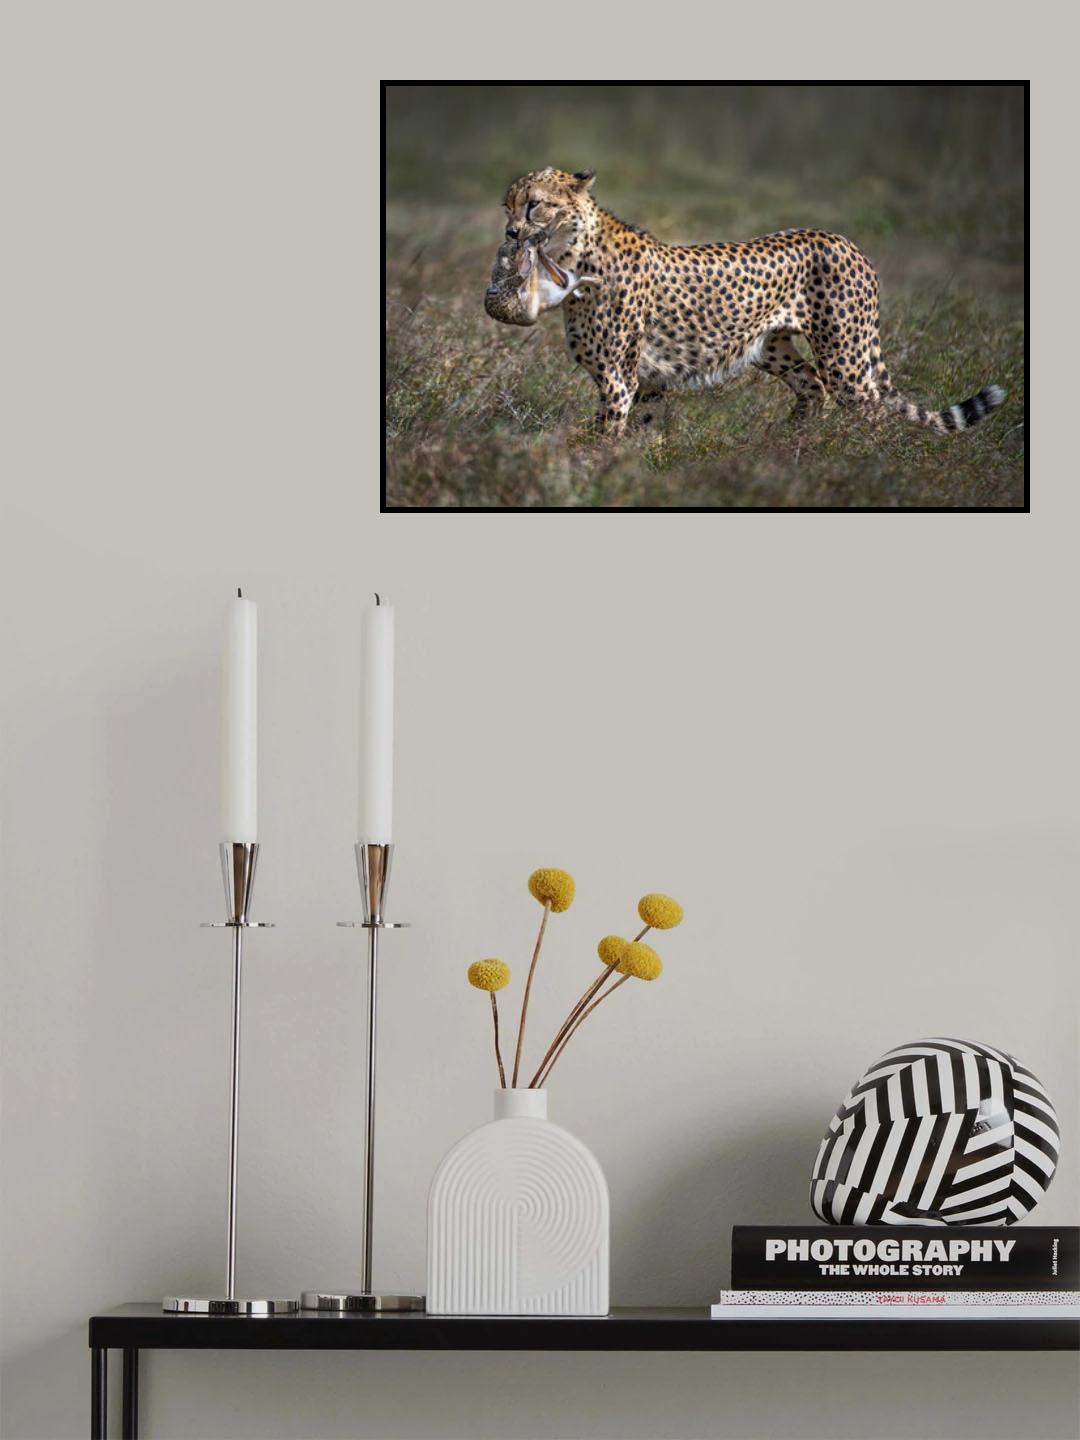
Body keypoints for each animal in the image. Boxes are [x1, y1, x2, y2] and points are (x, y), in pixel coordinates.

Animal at [496, 167, 1005, 439]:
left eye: (535, 204)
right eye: (508, 205)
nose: (511, 232)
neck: (573, 252)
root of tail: (844, 239)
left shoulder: (618, 379)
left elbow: (605, 436)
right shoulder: (646, 380)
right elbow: (640, 430)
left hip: (846, 357)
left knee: (870, 412)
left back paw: (863, 467)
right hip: (772, 347)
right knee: (811, 387)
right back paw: (789, 447)